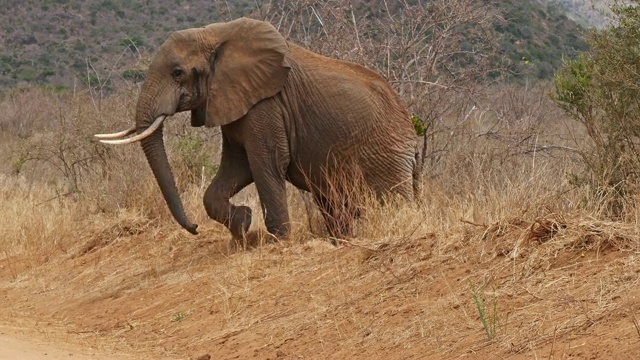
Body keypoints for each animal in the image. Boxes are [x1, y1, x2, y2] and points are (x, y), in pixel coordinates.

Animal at [94, 18, 416, 240]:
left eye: (177, 73)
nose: (195, 228)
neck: (217, 34)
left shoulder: (267, 104)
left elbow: (267, 163)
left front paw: (278, 239)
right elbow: (238, 166)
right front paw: (243, 224)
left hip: (387, 154)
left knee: (393, 201)